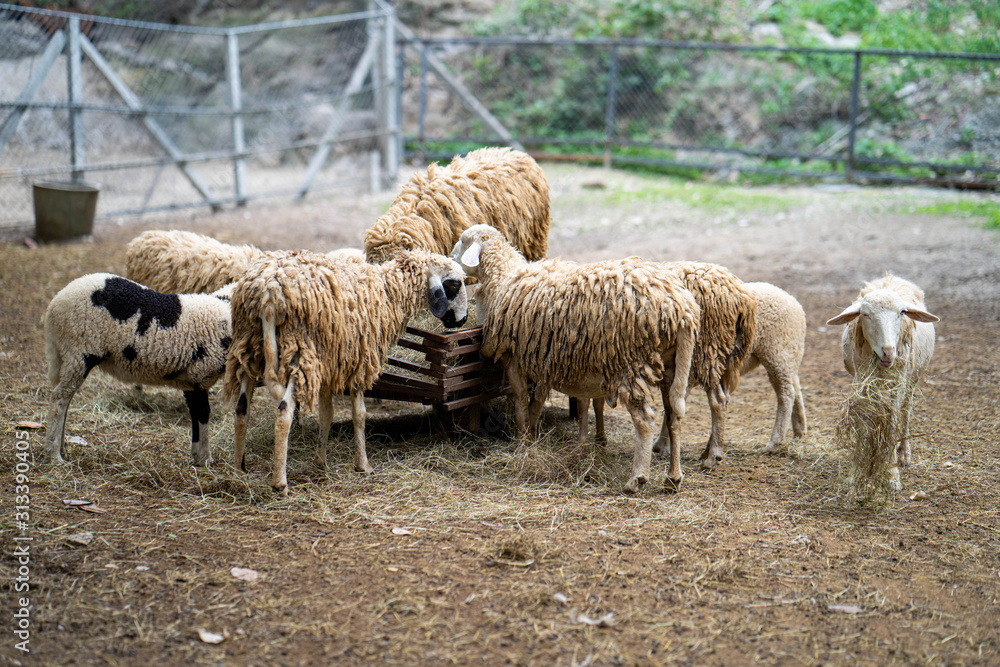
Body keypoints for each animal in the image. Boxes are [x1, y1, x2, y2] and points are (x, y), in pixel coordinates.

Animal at [43, 274, 233, 466]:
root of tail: (55, 304)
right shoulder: (200, 375)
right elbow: (203, 414)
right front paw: (206, 459)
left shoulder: (190, 382)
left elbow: (195, 414)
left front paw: (197, 456)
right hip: (80, 352)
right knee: (59, 399)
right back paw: (55, 455)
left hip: (72, 355)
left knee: (66, 400)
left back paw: (62, 450)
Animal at [222, 248, 469, 496]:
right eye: (455, 284)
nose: (464, 320)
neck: (388, 292)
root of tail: (268, 295)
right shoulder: (360, 362)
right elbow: (359, 415)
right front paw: (363, 465)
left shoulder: (329, 365)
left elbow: (326, 414)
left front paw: (320, 462)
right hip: (299, 354)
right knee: (284, 413)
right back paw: (280, 484)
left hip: (249, 349)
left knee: (241, 409)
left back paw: (238, 471)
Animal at [451, 224, 701, 494]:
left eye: (463, 241)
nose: (449, 258)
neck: (503, 277)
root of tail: (681, 310)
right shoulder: (543, 363)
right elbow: (536, 405)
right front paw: (533, 439)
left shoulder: (514, 360)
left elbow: (520, 406)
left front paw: (523, 443)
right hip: (671, 365)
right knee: (674, 415)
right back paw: (673, 478)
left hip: (630, 364)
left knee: (645, 420)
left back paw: (636, 479)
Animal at [827, 273, 939, 491]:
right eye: (865, 314)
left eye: (902, 312)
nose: (888, 351)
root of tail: (891, 277)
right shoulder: (861, 382)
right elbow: (863, 423)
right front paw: (857, 471)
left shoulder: (898, 385)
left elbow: (893, 423)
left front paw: (892, 475)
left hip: (912, 380)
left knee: (905, 413)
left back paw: (904, 453)